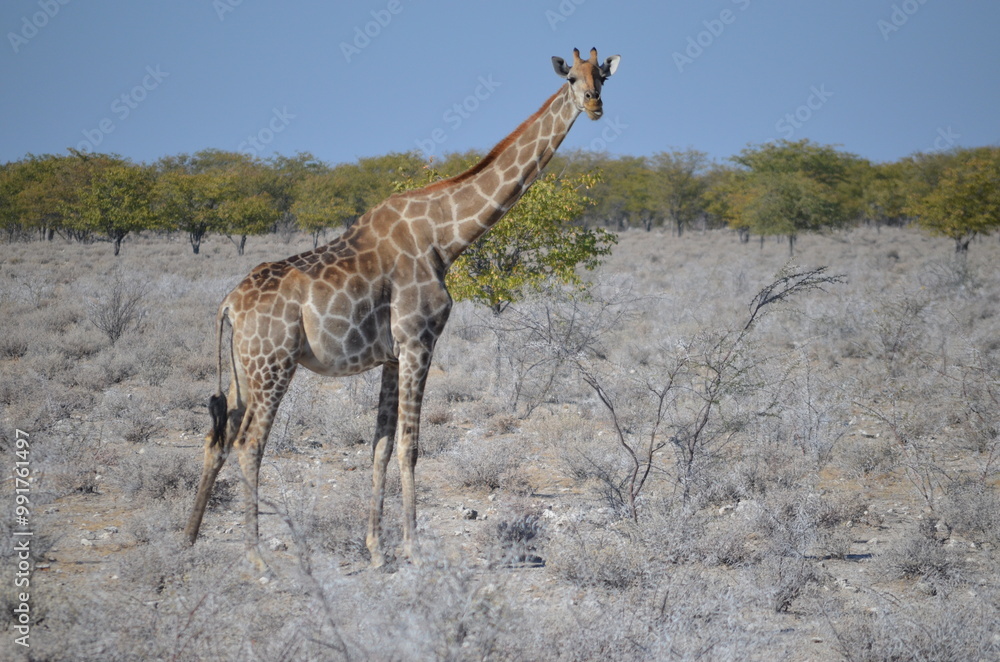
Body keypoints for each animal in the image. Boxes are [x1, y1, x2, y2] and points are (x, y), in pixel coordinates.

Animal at [185, 48, 621, 570]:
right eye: (572, 77)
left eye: (604, 76)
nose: (595, 104)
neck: (444, 238)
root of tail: (229, 304)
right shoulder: (419, 341)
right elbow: (410, 446)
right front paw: (413, 546)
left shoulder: (391, 356)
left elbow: (380, 446)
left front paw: (377, 550)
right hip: (273, 363)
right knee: (250, 443)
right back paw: (256, 560)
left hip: (243, 367)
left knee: (218, 436)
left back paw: (186, 542)